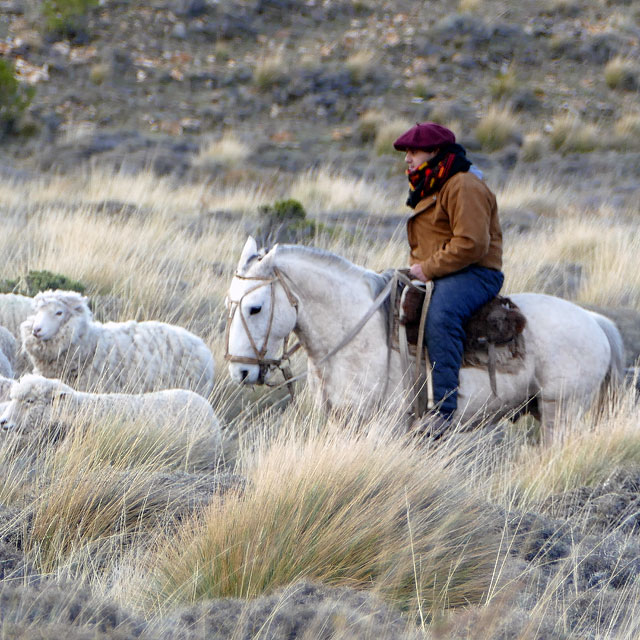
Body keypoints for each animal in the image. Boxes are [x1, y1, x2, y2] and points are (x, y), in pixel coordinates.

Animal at [226, 236, 624, 440]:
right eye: (230, 303)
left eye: (255, 308)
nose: (240, 372)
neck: (355, 331)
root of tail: (594, 321)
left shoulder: (384, 427)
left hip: (564, 411)